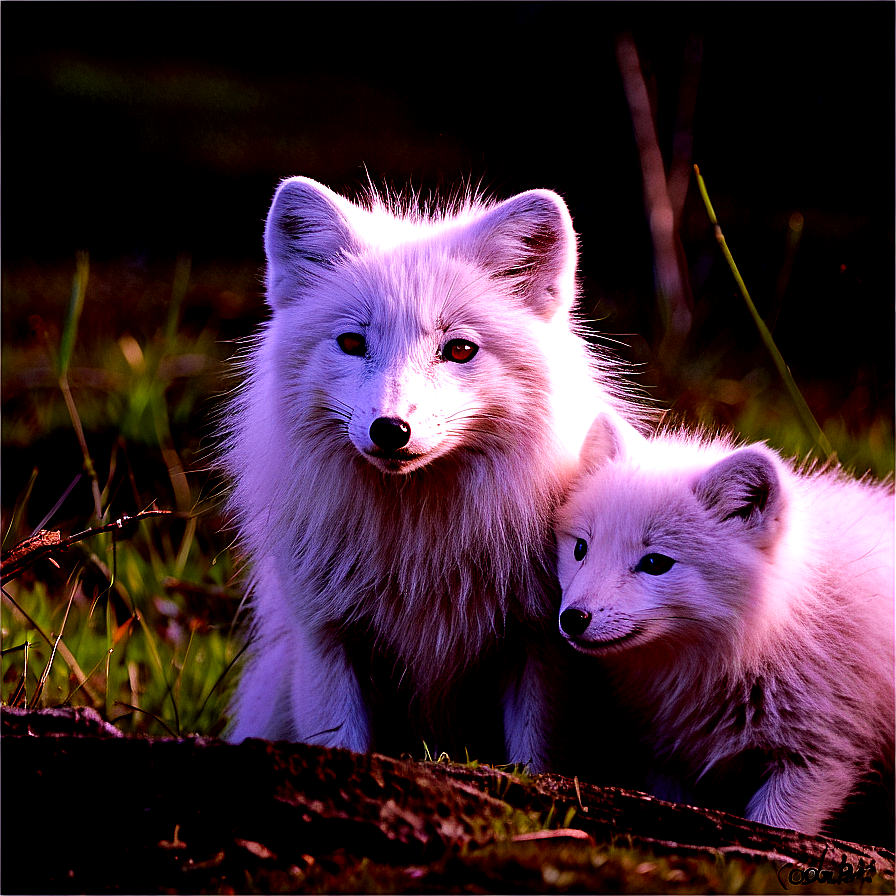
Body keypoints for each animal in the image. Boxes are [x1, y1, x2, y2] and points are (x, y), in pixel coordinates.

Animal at [224, 177, 644, 768]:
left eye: (460, 350)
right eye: (352, 343)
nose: (390, 430)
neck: (422, 551)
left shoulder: (538, 646)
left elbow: (535, 761)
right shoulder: (327, 640)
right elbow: (341, 742)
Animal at [556, 416, 892, 836]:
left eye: (655, 563)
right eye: (580, 549)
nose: (573, 618)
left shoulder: (818, 758)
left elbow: (772, 830)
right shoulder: (670, 760)